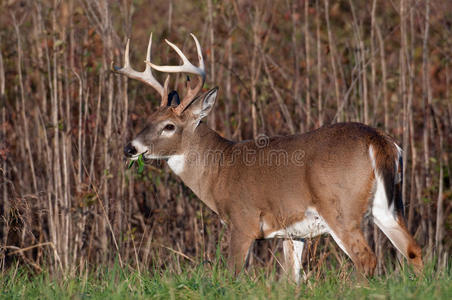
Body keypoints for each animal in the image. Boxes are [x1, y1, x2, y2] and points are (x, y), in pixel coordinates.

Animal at [113, 34, 424, 282]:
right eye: (148, 119)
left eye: (169, 126)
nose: (130, 148)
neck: (219, 169)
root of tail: (379, 141)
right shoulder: (293, 231)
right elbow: (291, 279)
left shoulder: (243, 220)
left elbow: (233, 273)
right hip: (389, 205)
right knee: (413, 250)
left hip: (340, 207)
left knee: (366, 258)